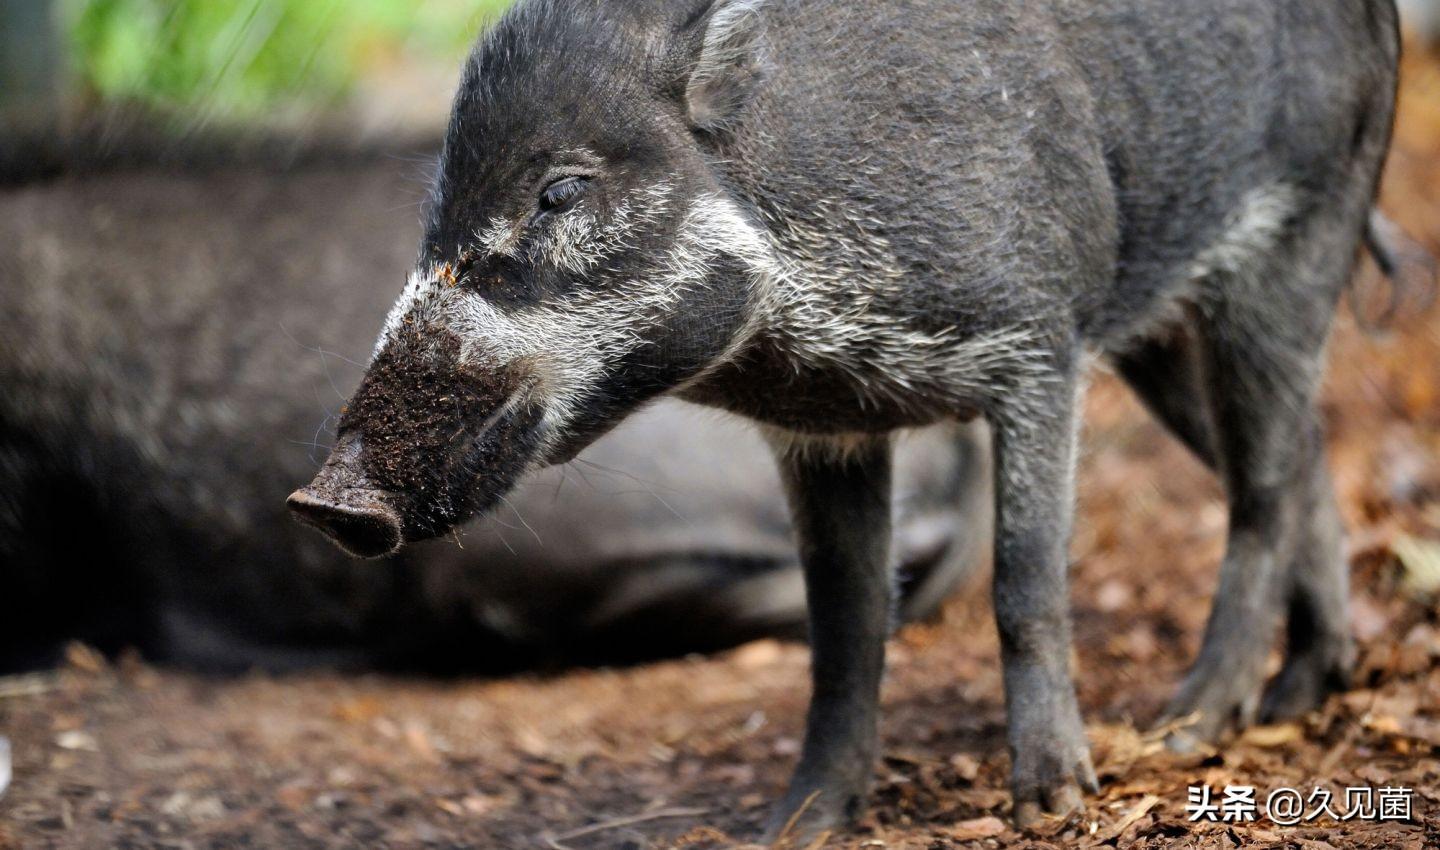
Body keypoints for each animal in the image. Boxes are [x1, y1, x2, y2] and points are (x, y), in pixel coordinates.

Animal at [292, 0, 1405, 841]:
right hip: (1159, 329)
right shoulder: (827, 432)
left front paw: (1053, 803)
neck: (803, 335)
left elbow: (1025, 584)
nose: (325, 500)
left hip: (1301, 238)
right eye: (433, 214)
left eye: (561, 189)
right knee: (1299, 451)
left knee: (1265, 482)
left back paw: (1195, 721)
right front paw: (794, 826)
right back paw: (1305, 687)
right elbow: (844, 626)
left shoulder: (1038, 350)